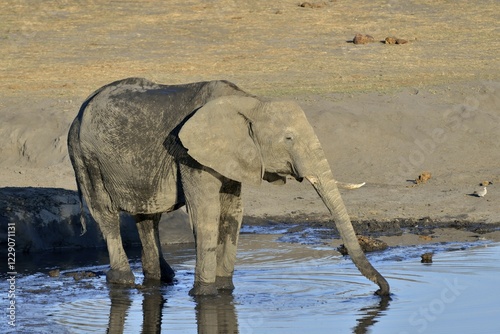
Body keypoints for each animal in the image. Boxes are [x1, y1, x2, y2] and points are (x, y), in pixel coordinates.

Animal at [68, 77, 390, 296]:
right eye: (288, 139)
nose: (384, 291)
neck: (250, 102)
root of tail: (81, 109)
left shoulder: (234, 156)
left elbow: (233, 212)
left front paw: (225, 288)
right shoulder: (190, 154)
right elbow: (206, 212)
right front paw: (205, 294)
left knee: (147, 216)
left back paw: (163, 277)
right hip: (86, 156)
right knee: (105, 213)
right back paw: (123, 280)